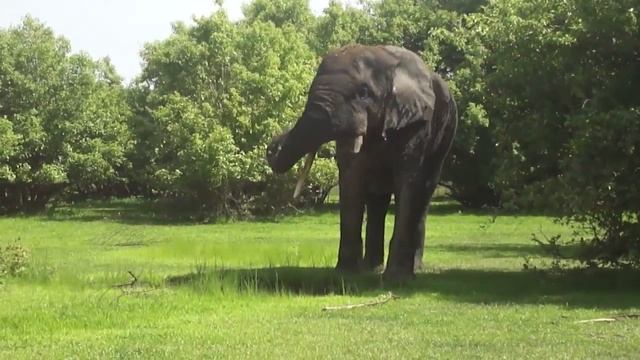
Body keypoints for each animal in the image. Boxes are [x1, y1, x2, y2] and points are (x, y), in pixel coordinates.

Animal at [268, 45, 458, 280]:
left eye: (364, 93)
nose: (271, 148)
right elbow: (351, 177)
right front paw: (345, 273)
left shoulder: (417, 122)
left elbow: (409, 181)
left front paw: (397, 280)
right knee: (378, 200)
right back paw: (371, 268)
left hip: (446, 134)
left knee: (423, 193)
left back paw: (413, 268)